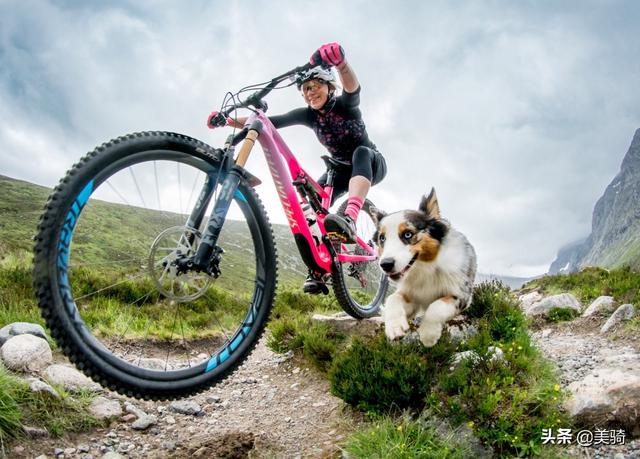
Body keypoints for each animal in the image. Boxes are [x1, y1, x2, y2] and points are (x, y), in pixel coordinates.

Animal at [370, 189, 476, 346]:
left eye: (408, 234)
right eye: (382, 238)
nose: (386, 264)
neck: (424, 268)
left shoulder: (462, 295)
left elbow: (437, 306)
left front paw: (428, 335)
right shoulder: (410, 296)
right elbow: (392, 298)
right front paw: (394, 327)